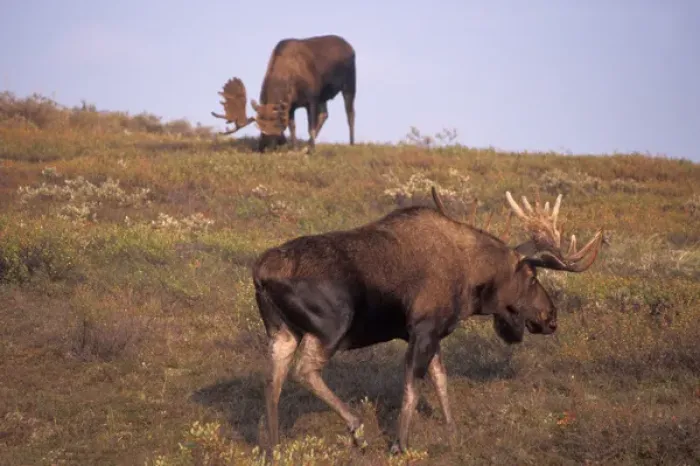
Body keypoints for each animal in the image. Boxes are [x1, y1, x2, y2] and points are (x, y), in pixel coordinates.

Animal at [211, 34, 356, 153]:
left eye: (278, 135)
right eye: (261, 132)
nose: (262, 148)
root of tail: (350, 46)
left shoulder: (312, 98)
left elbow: (310, 127)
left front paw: (311, 149)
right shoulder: (291, 105)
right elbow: (293, 127)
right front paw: (295, 148)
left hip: (349, 84)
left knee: (350, 113)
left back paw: (351, 144)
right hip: (324, 96)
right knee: (325, 114)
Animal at [251, 186, 604, 453]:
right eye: (532, 277)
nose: (551, 318)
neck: (471, 282)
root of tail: (262, 272)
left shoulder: (433, 333)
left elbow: (440, 381)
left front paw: (453, 433)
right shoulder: (422, 329)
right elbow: (413, 387)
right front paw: (400, 445)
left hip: (281, 331)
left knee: (271, 380)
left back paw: (273, 447)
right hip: (332, 326)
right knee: (302, 371)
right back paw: (355, 426)